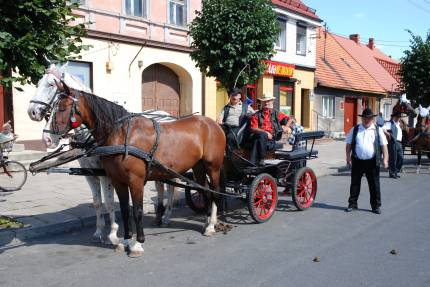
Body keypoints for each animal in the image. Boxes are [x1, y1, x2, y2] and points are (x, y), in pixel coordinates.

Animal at [27, 63, 176, 245]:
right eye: (37, 82)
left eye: (50, 84)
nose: (32, 111)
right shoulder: (90, 174)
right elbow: (98, 202)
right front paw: (98, 231)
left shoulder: (107, 175)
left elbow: (110, 202)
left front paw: (112, 233)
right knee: (161, 186)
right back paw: (159, 216)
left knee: (171, 187)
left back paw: (167, 216)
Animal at [47, 86, 227, 258]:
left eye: (62, 107)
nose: (49, 138)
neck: (121, 135)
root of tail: (212, 123)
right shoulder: (118, 181)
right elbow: (125, 209)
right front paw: (126, 240)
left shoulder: (136, 181)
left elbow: (137, 211)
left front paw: (137, 244)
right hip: (198, 167)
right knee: (205, 191)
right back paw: (206, 222)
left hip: (213, 167)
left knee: (215, 192)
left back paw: (212, 224)